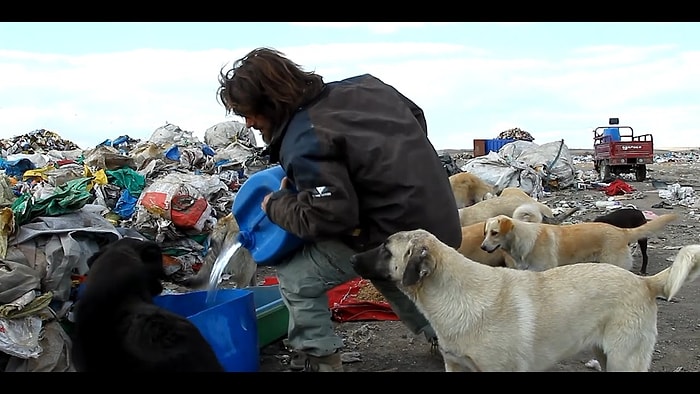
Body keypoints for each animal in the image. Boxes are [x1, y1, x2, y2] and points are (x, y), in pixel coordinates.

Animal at [352, 229, 700, 370]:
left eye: (385, 249)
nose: (353, 257)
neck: (455, 294)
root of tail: (643, 281)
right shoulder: (457, 367)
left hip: (624, 360)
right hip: (605, 355)